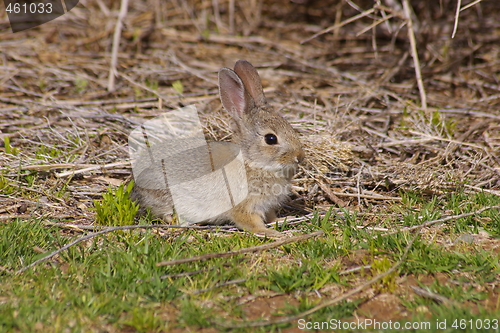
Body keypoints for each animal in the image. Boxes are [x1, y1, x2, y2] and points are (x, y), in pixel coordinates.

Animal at [129, 59, 304, 236]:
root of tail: (137, 184)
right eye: (270, 139)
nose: (299, 157)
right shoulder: (243, 207)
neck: (251, 162)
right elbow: (251, 223)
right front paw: (271, 233)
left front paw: (283, 220)